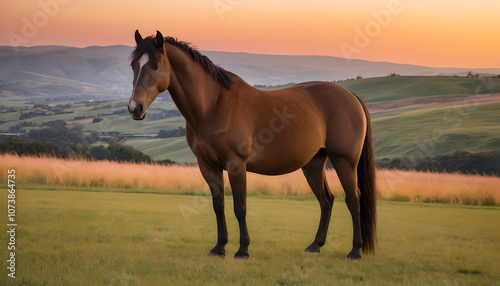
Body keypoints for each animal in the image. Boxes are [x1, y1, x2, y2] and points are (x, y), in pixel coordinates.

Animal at [129, 30, 376, 260]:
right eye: (133, 65)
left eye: (155, 65)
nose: (134, 108)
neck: (213, 106)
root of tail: (351, 97)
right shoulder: (208, 167)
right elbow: (218, 206)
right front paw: (219, 248)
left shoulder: (236, 165)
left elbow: (240, 207)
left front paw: (243, 250)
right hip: (313, 164)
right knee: (327, 200)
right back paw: (315, 245)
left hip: (345, 162)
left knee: (354, 200)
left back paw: (355, 251)